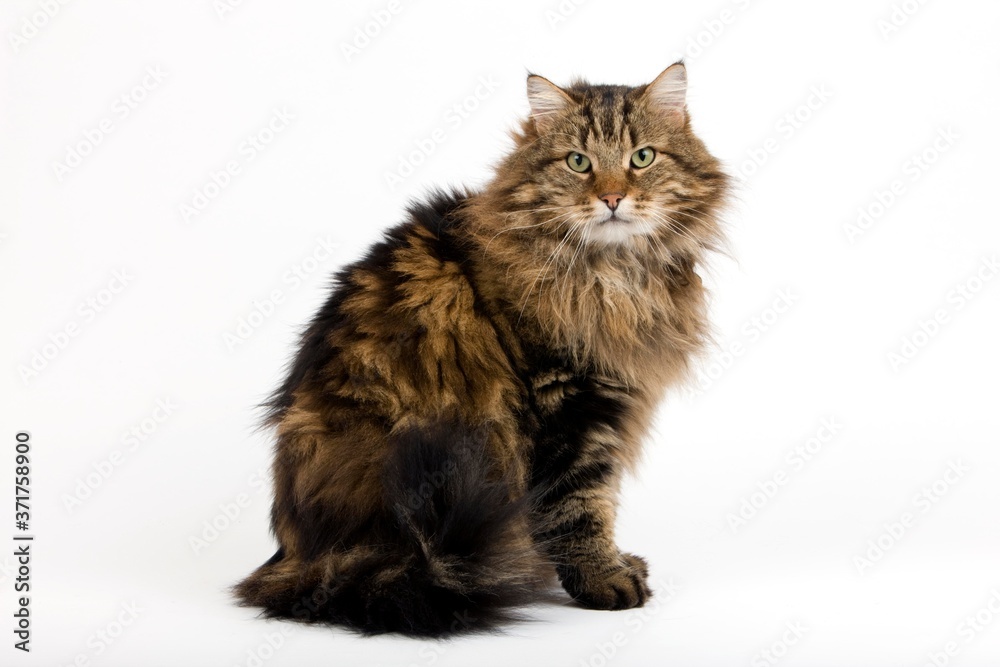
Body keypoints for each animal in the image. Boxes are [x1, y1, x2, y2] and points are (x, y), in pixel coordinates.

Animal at [238, 61, 732, 636]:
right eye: (579, 162)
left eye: (642, 158)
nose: (612, 198)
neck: (614, 278)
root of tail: (304, 560)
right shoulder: (567, 404)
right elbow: (580, 505)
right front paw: (603, 579)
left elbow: (596, 499)